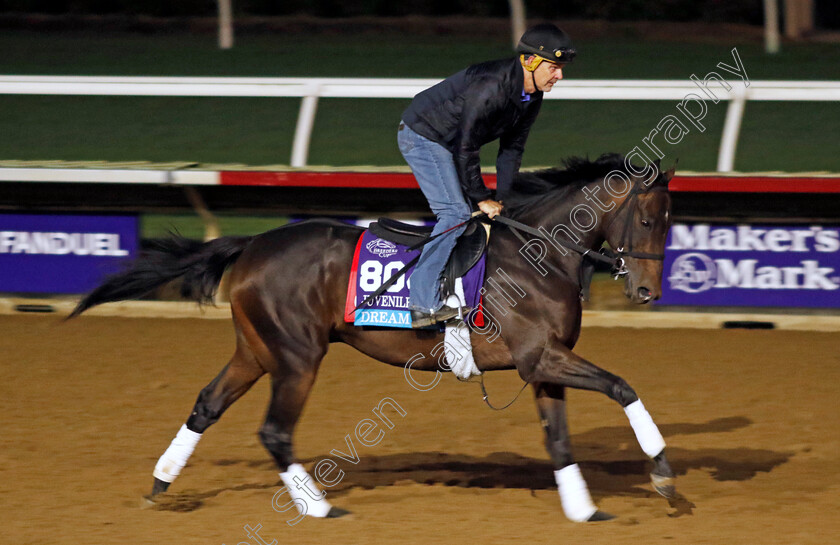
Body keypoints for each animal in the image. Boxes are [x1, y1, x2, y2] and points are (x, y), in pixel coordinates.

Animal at [70, 153, 676, 524]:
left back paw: (160, 484)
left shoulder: (544, 363)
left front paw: (584, 509)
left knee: (206, 405)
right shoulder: (542, 357)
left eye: (671, 223)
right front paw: (664, 476)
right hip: (297, 355)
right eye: (649, 222)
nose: (648, 291)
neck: (539, 254)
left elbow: (560, 440)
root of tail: (250, 245)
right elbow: (622, 387)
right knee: (274, 430)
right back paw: (318, 508)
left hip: (256, 350)